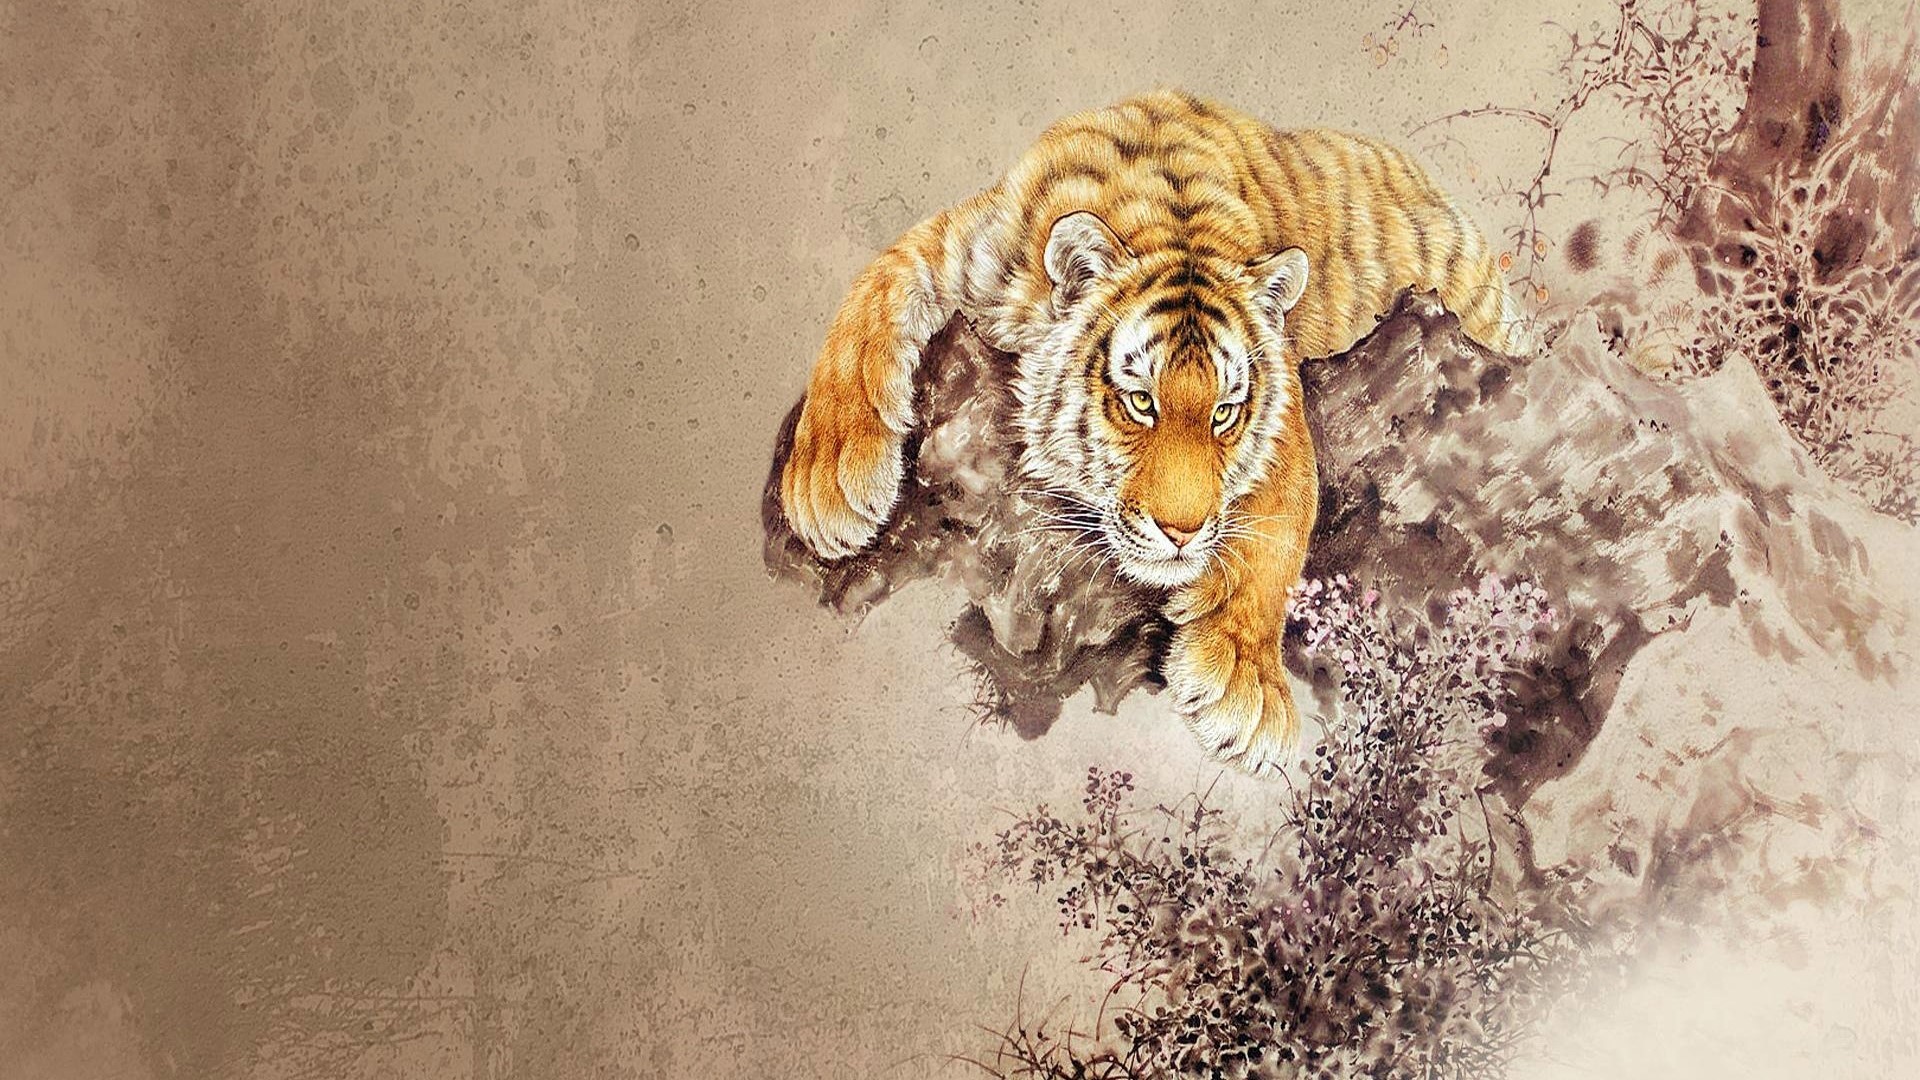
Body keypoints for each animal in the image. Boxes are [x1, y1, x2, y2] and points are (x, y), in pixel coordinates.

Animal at [779, 89, 1528, 774]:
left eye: (1224, 413)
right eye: (1140, 403)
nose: (1182, 532)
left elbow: (1279, 526)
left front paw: (1244, 686)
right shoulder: (960, 244)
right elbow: (866, 302)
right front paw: (827, 484)